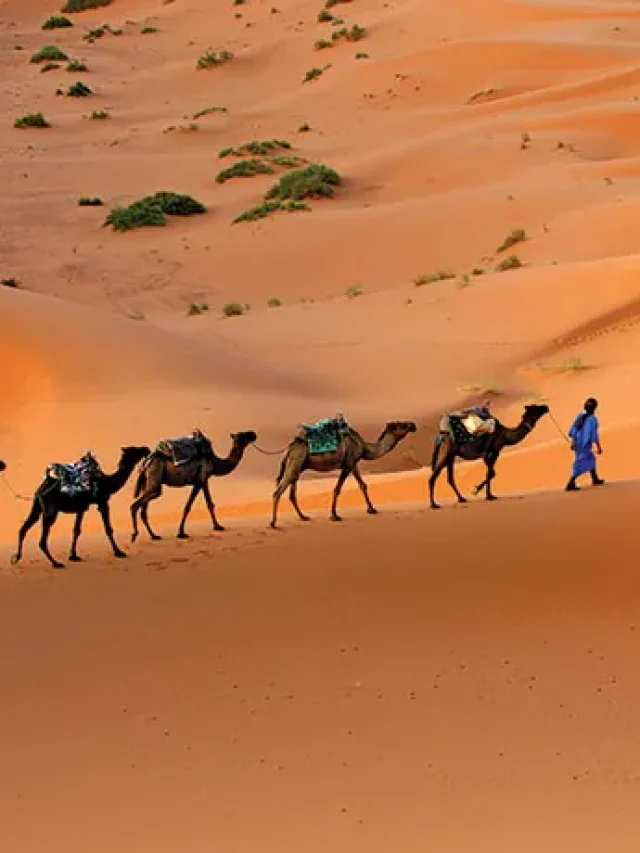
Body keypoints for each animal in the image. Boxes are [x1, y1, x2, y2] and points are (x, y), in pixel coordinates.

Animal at [12, 442, 150, 568]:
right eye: (134, 449)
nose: (146, 448)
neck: (108, 483)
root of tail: (41, 489)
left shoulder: (82, 507)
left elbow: (76, 530)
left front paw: (73, 556)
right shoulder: (103, 502)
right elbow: (108, 529)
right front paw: (119, 552)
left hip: (37, 506)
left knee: (23, 529)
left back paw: (17, 557)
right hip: (50, 510)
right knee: (42, 540)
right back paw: (56, 563)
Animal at [130, 430, 258, 544]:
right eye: (243, 435)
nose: (253, 434)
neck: (214, 462)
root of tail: (146, 462)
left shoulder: (204, 480)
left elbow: (210, 504)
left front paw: (217, 526)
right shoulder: (199, 481)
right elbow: (188, 506)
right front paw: (181, 533)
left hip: (148, 483)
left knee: (143, 510)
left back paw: (154, 536)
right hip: (155, 478)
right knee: (135, 505)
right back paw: (134, 535)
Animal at [272, 418, 418, 524]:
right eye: (400, 425)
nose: (413, 425)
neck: (364, 447)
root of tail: (289, 447)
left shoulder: (353, 464)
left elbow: (363, 485)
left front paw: (371, 509)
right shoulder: (348, 465)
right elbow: (337, 489)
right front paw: (334, 515)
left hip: (298, 466)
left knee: (292, 494)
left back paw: (303, 517)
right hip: (295, 462)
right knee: (278, 492)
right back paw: (273, 523)